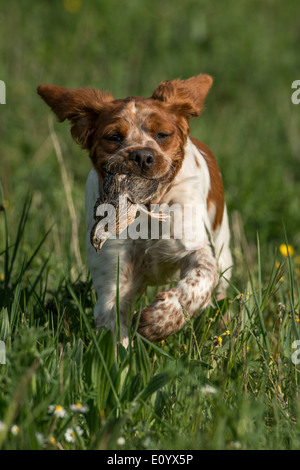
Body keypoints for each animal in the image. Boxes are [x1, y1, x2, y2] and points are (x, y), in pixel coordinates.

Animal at [37, 73, 233, 346]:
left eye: (162, 134)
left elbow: (200, 279)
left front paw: (158, 321)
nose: (142, 156)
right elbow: (113, 333)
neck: (145, 210)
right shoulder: (115, 275)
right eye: (114, 137)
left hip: (224, 250)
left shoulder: (194, 246)